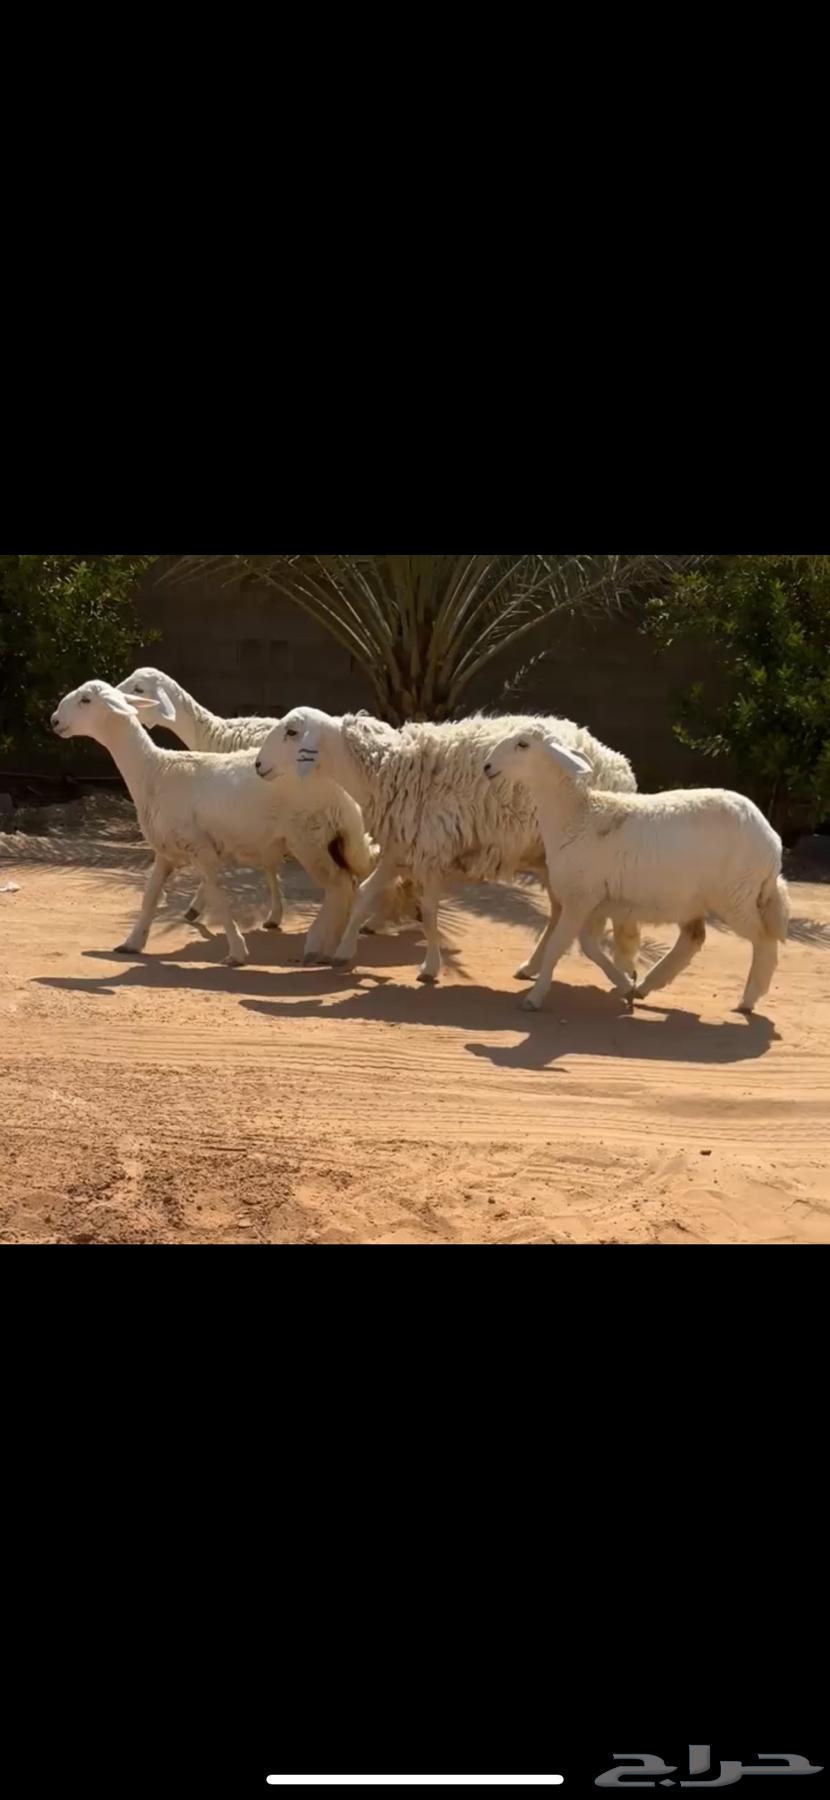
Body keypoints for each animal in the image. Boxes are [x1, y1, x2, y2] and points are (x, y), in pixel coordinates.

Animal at [50, 681, 377, 966]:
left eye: (85, 700)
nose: (54, 721)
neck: (154, 771)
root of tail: (345, 794)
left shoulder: (200, 849)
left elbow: (219, 898)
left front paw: (237, 953)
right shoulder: (166, 851)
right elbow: (150, 897)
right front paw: (132, 942)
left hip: (310, 839)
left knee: (339, 887)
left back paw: (319, 946)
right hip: (328, 841)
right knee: (346, 886)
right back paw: (330, 944)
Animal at [116, 667, 414, 939]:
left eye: (139, 688)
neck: (211, 734)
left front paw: (198, 906)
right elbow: (268, 865)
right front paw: (273, 915)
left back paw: (377, 918)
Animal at [255, 706, 643, 985]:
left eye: (291, 732)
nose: (258, 765)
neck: (387, 769)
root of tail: (620, 764)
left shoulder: (430, 852)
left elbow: (428, 913)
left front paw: (430, 967)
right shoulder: (400, 849)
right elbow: (364, 895)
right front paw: (344, 951)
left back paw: (618, 969)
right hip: (548, 859)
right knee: (559, 912)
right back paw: (532, 966)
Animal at [482, 726, 790, 1014]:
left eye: (522, 744)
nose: (487, 766)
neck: (576, 815)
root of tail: (772, 842)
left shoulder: (580, 897)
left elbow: (558, 945)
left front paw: (534, 998)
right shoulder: (594, 901)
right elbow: (589, 946)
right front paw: (623, 984)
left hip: (735, 895)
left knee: (764, 940)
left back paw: (748, 1000)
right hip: (693, 898)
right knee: (693, 938)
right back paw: (645, 986)